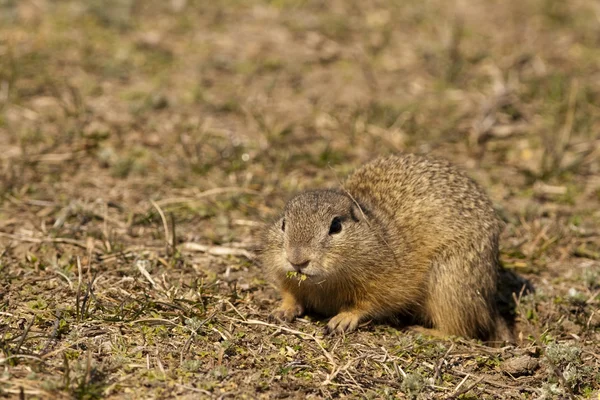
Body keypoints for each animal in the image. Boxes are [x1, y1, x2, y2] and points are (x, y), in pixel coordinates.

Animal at [260, 155, 512, 342]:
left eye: (336, 226)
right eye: (284, 223)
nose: (297, 260)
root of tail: (489, 300)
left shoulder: (387, 283)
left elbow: (369, 303)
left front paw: (342, 319)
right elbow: (290, 293)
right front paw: (281, 310)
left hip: (449, 285)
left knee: (461, 330)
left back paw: (421, 331)